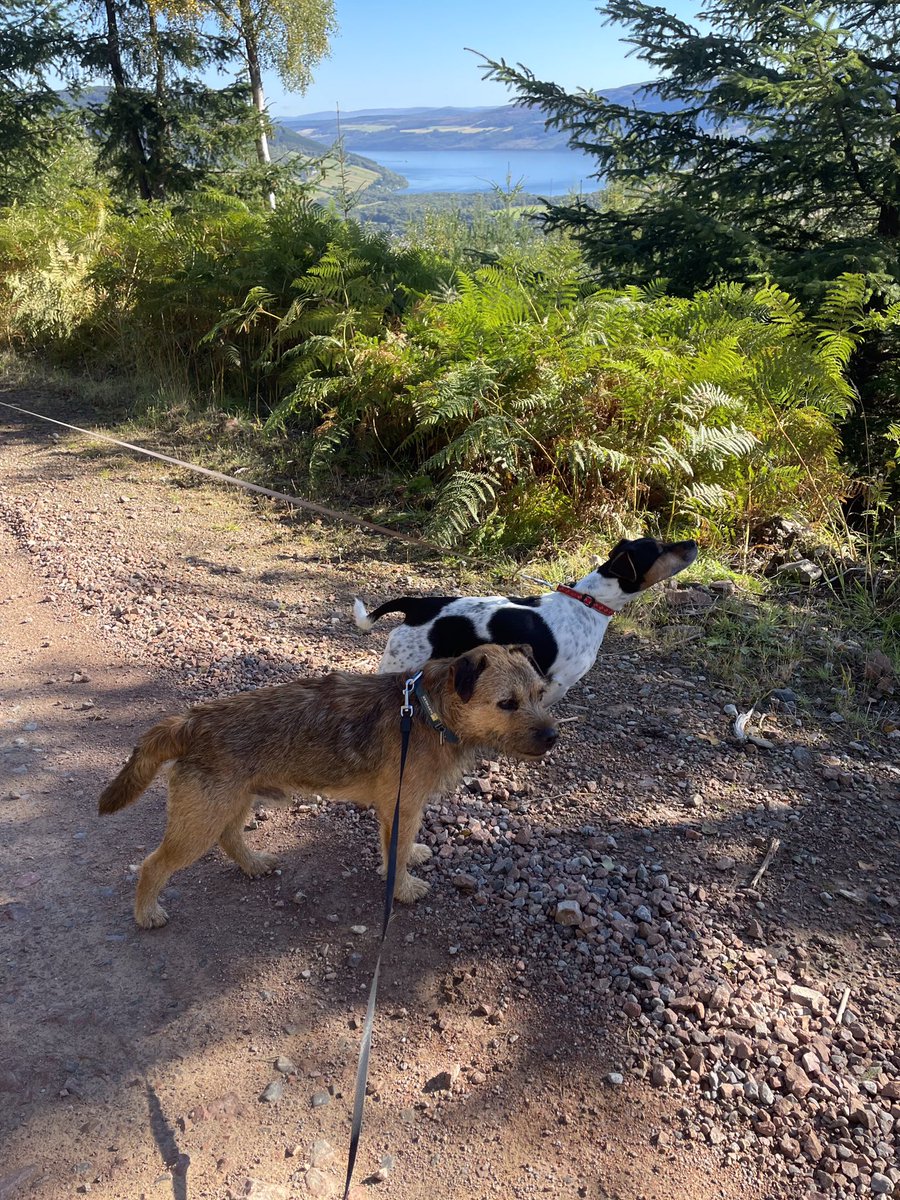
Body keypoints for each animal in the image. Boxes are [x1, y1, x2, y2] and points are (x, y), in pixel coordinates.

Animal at [98, 648, 556, 926]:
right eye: (507, 703)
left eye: (540, 692)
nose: (553, 736)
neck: (427, 711)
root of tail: (191, 722)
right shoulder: (401, 804)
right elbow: (395, 852)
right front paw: (403, 887)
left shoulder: (406, 806)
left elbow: (404, 842)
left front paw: (413, 855)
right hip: (199, 822)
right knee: (153, 864)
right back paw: (146, 912)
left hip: (233, 801)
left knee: (230, 837)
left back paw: (252, 864)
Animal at [355, 535, 700, 700]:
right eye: (660, 550)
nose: (694, 542)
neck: (590, 602)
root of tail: (417, 605)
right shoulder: (559, 682)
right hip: (400, 662)